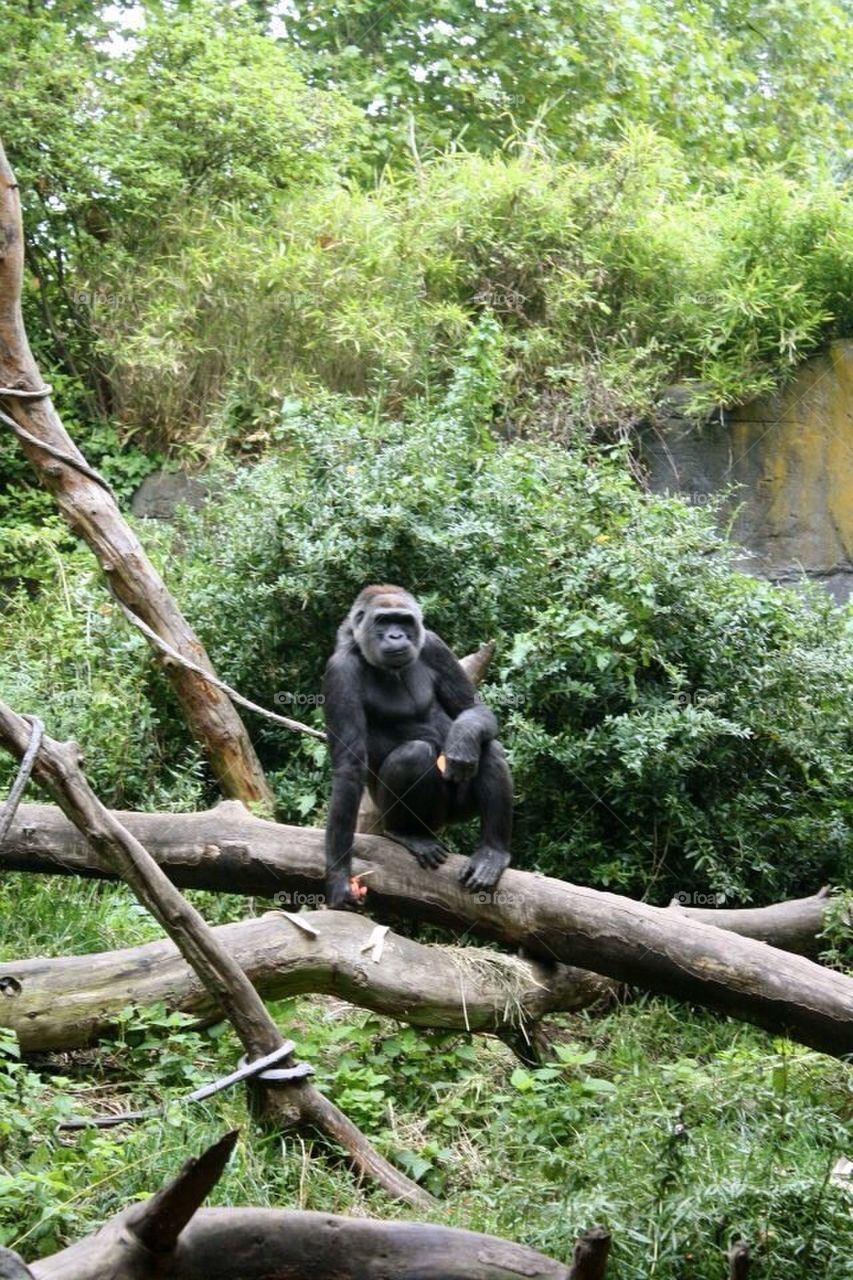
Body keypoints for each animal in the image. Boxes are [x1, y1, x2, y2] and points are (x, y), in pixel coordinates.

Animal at [322, 585, 512, 910]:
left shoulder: (434, 645)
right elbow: (349, 768)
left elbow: (472, 710)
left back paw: (492, 852)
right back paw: (407, 833)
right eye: (383, 621)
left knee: (488, 747)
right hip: (399, 815)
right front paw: (338, 879)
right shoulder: (339, 672)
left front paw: (462, 739)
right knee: (414, 755)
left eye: (404, 621)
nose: (396, 636)